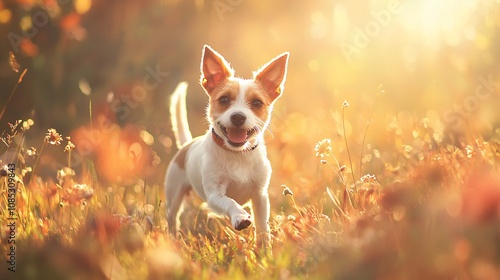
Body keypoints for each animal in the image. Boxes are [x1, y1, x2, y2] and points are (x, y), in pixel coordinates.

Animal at [165, 44, 290, 246]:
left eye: (257, 103)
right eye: (224, 100)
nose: (238, 116)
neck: (237, 154)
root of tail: (187, 144)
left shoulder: (260, 196)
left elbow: (262, 226)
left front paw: (264, 248)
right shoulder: (214, 195)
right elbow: (230, 202)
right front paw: (240, 217)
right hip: (174, 196)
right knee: (172, 220)